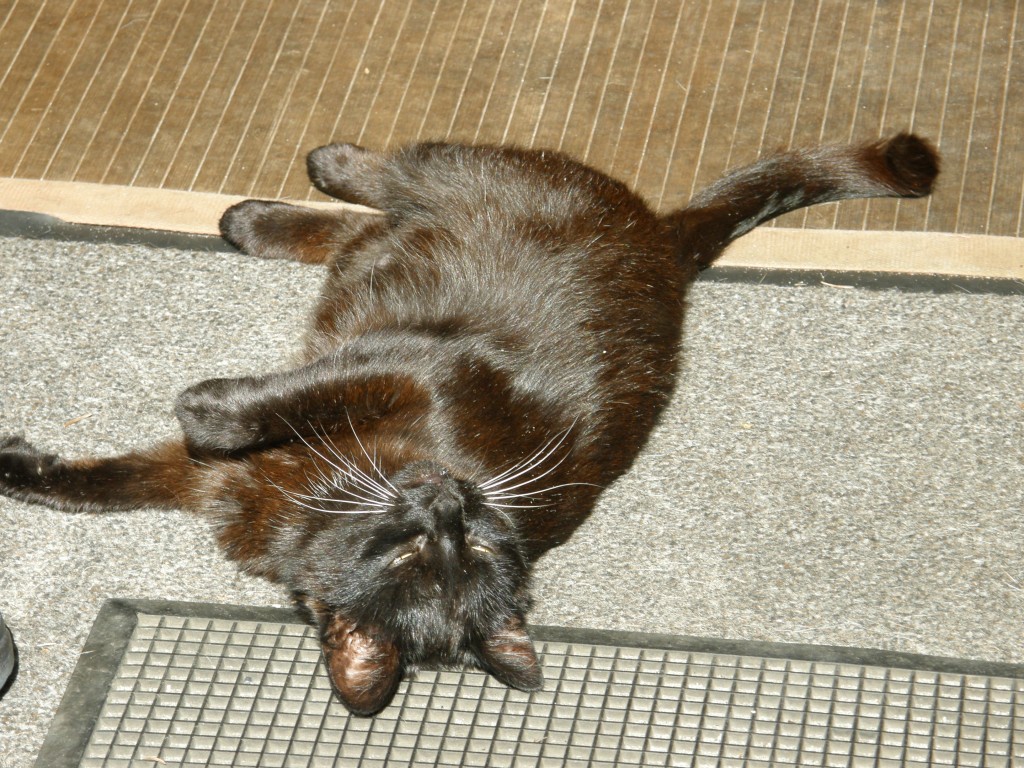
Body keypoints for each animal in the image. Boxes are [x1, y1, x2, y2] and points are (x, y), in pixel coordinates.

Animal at [0, 134, 938, 715]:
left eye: (466, 552)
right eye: (425, 552)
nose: (449, 503)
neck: (323, 503)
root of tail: (669, 251)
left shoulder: (416, 372)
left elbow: (182, 443)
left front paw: (201, 404)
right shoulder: (412, 374)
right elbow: (107, 479)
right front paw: (20, 463)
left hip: (469, 195)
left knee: (386, 204)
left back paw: (284, 197)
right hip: (470, 201)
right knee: (382, 203)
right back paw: (294, 190)